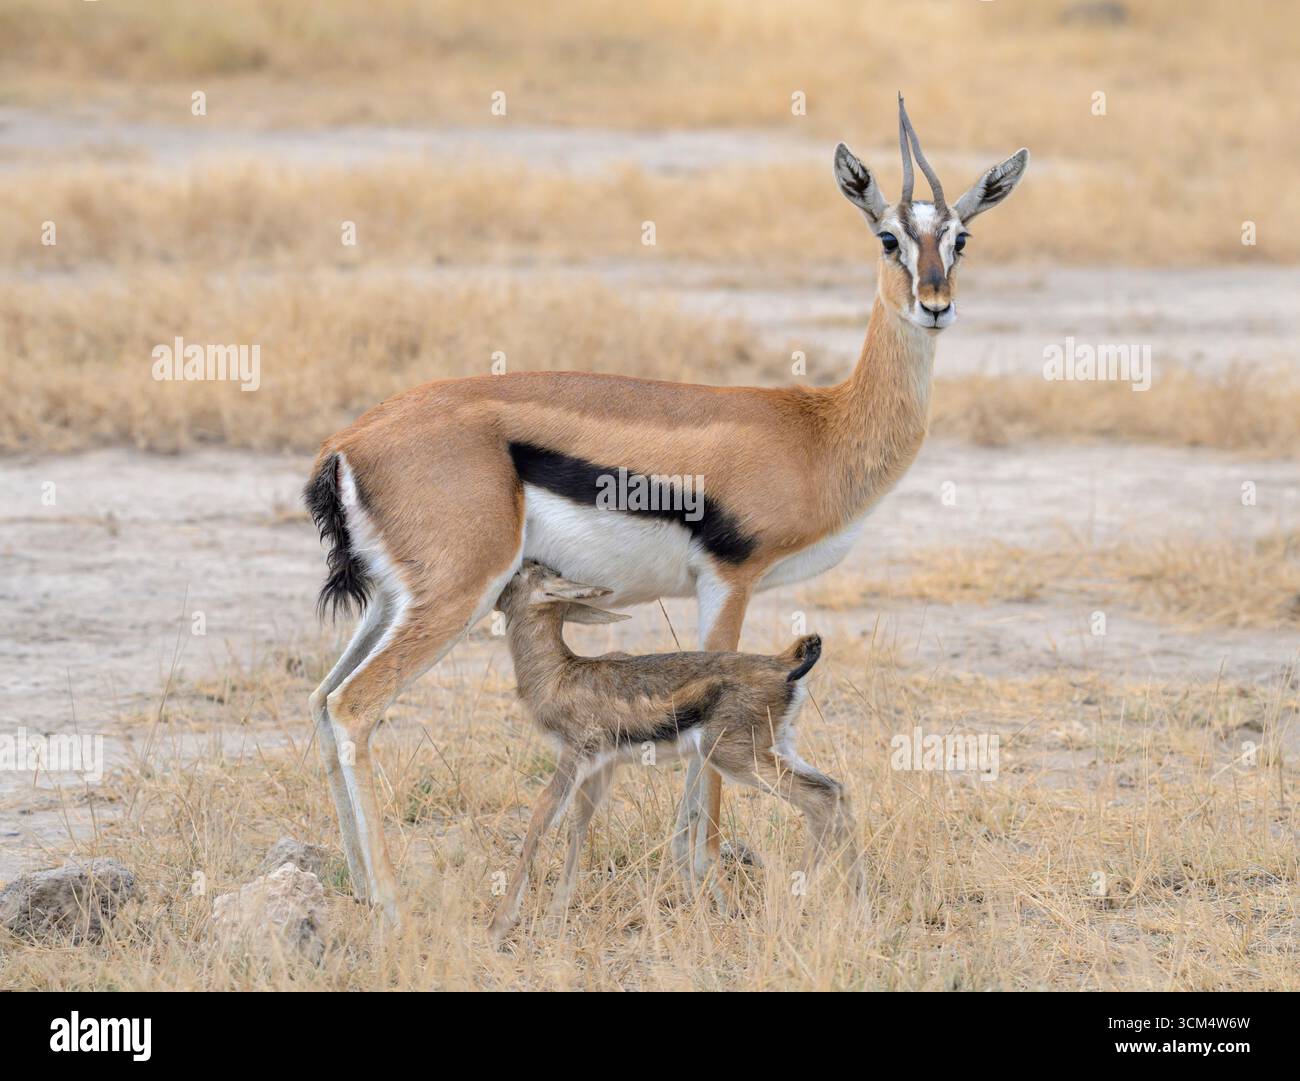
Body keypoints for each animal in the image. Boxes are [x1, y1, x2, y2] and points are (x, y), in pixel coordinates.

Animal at [487, 560, 858, 943]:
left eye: (521, 573)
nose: (495, 592)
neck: (558, 674)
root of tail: (784, 662)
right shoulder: (601, 767)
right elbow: (578, 824)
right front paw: (553, 918)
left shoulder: (573, 756)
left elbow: (541, 817)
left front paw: (499, 925)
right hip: (776, 747)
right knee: (838, 790)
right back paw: (855, 909)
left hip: (733, 757)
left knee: (820, 798)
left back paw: (791, 909)